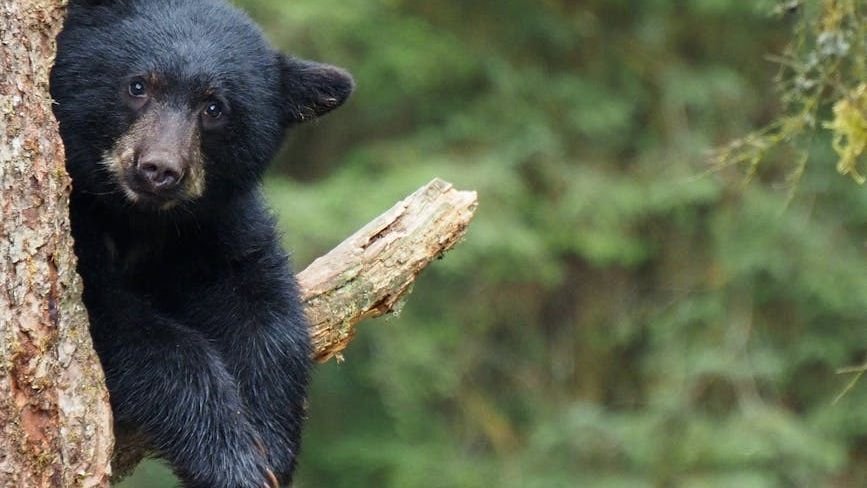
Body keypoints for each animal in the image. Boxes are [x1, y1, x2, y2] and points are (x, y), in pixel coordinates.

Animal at [49, 0, 353, 486]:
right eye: (138, 85)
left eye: (214, 108)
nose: (159, 169)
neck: (138, 218)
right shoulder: (79, 226)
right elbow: (132, 329)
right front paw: (230, 460)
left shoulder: (213, 223)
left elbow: (262, 305)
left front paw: (272, 443)